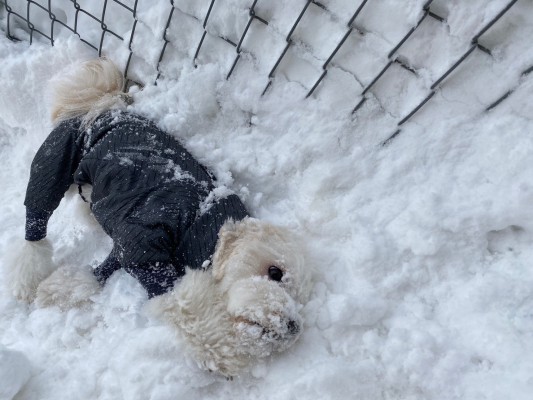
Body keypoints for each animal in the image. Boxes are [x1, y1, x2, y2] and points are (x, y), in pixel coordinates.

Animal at [6, 57, 312, 376]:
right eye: (275, 272)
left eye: (302, 297)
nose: (293, 327)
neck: (204, 221)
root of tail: (100, 104)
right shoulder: (147, 241)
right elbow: (190, 307)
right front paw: (229, 352)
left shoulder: (129, 244)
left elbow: (104, 268)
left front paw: (64, 289)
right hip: (54, 160)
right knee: (35, 223)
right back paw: (25, 278)